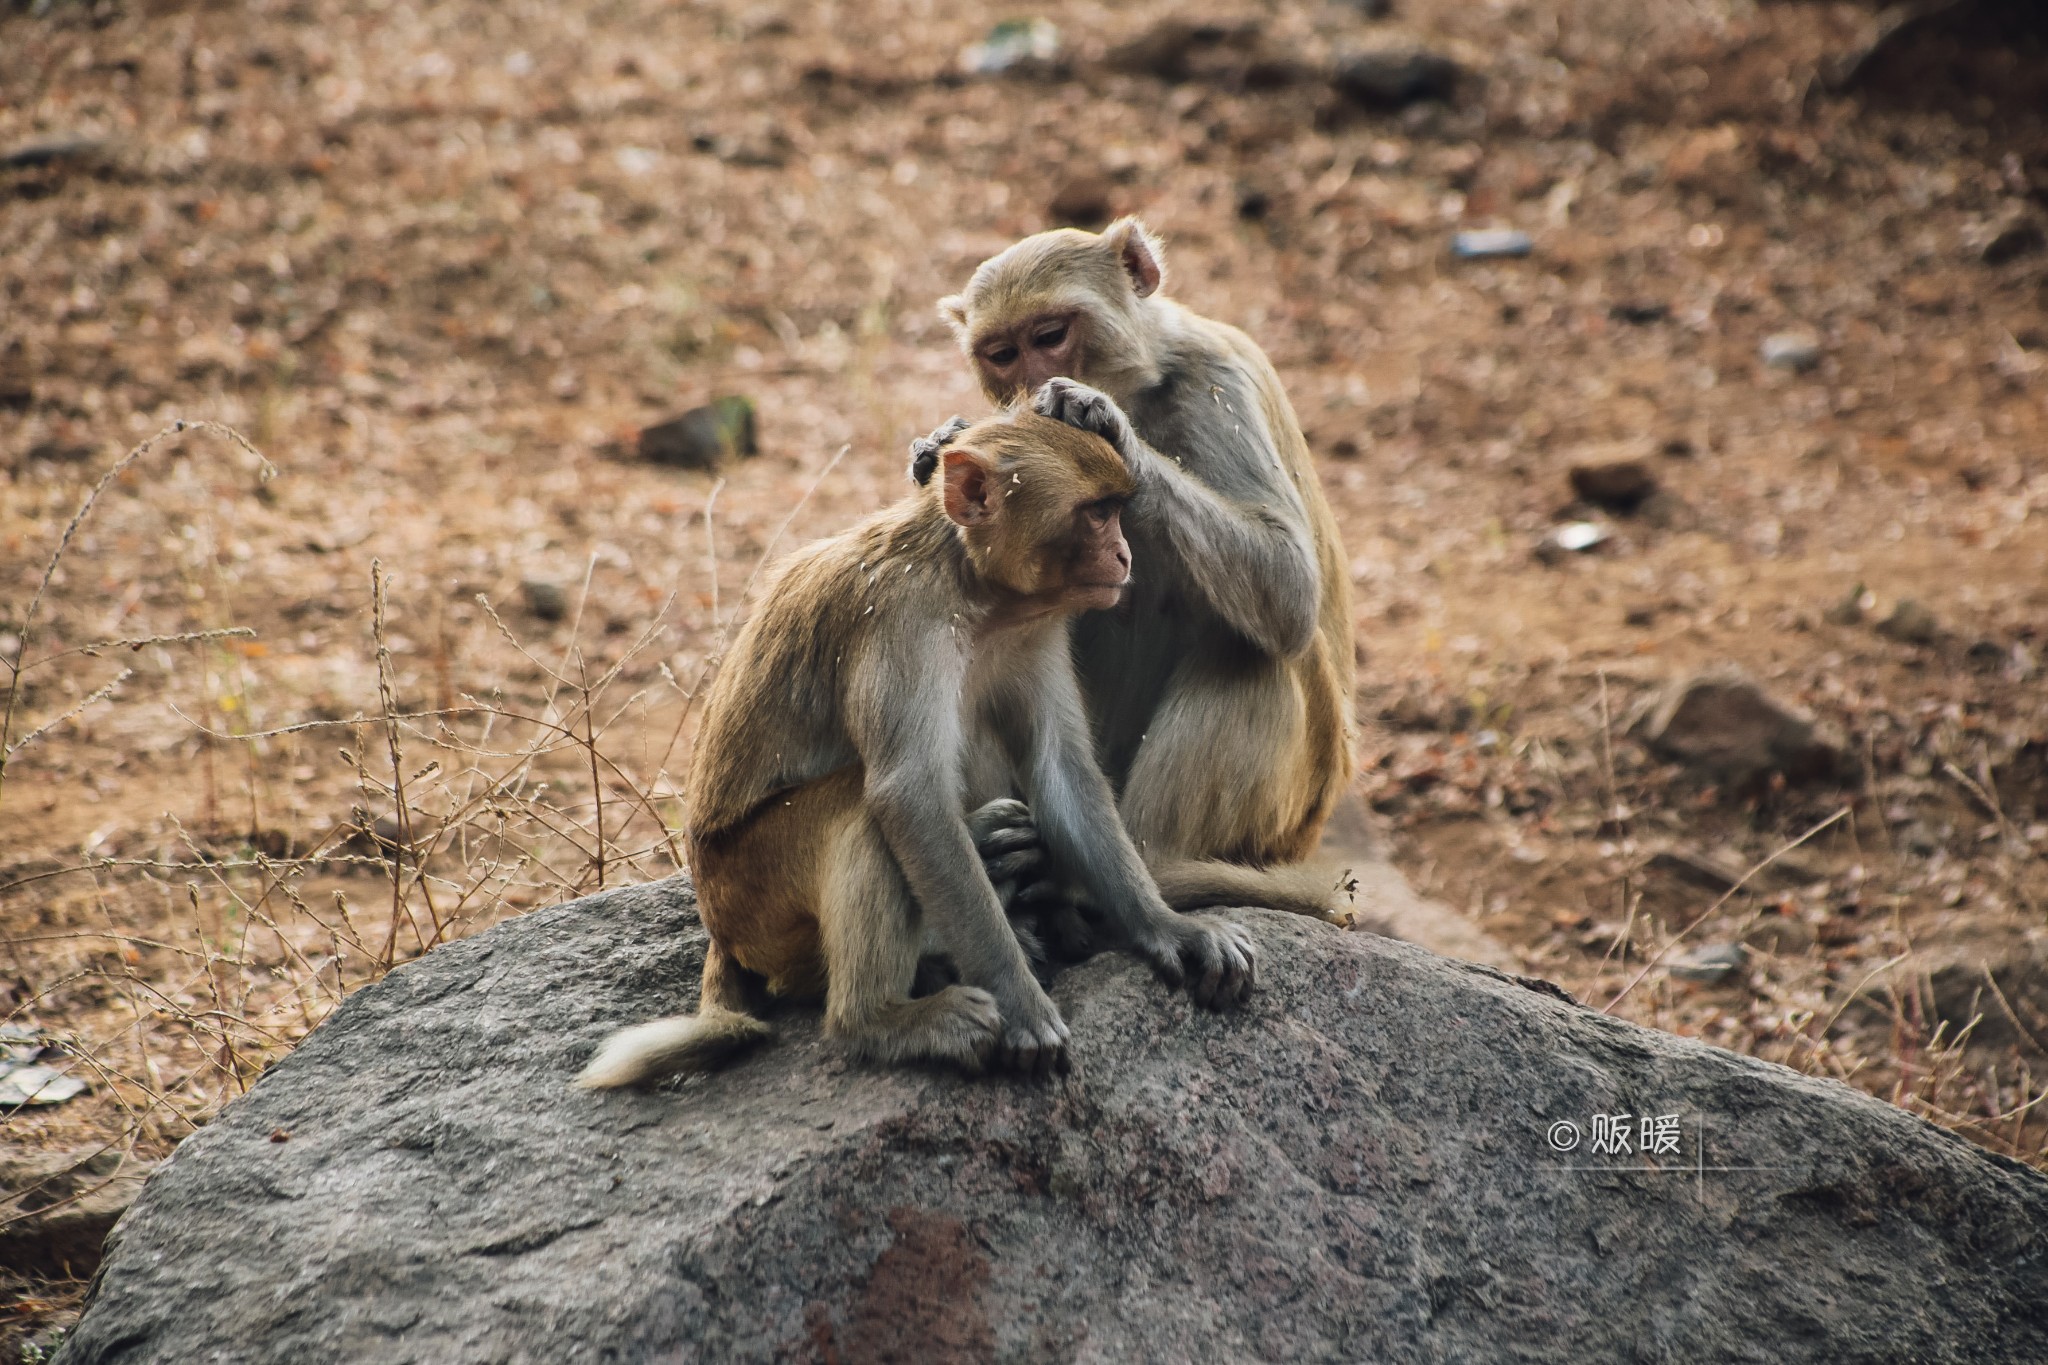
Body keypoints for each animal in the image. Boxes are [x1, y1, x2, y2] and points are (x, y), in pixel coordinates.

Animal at [569, 401, 1253, 1096]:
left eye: (1116, 510)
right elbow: (910, 796)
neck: (974, 590)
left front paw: (1170, 929)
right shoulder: (900, 620)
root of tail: (719, 930)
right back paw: (880, 1019)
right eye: (1095, 514)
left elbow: (1060, 769)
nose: (1122, 552)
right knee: (862, 810)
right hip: (753, 894)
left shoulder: (1036, 629)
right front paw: (1020, 1003)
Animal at [925, 218, 1359, 912]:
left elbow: (1290, 586)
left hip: (1292, 814)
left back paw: (1124, 879)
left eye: (1051, 336)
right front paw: (939, 445)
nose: (1031, 381)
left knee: (1253, 649)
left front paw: (1105, 427)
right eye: (1002, 353)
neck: (1149, 379)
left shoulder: (1215, 387)